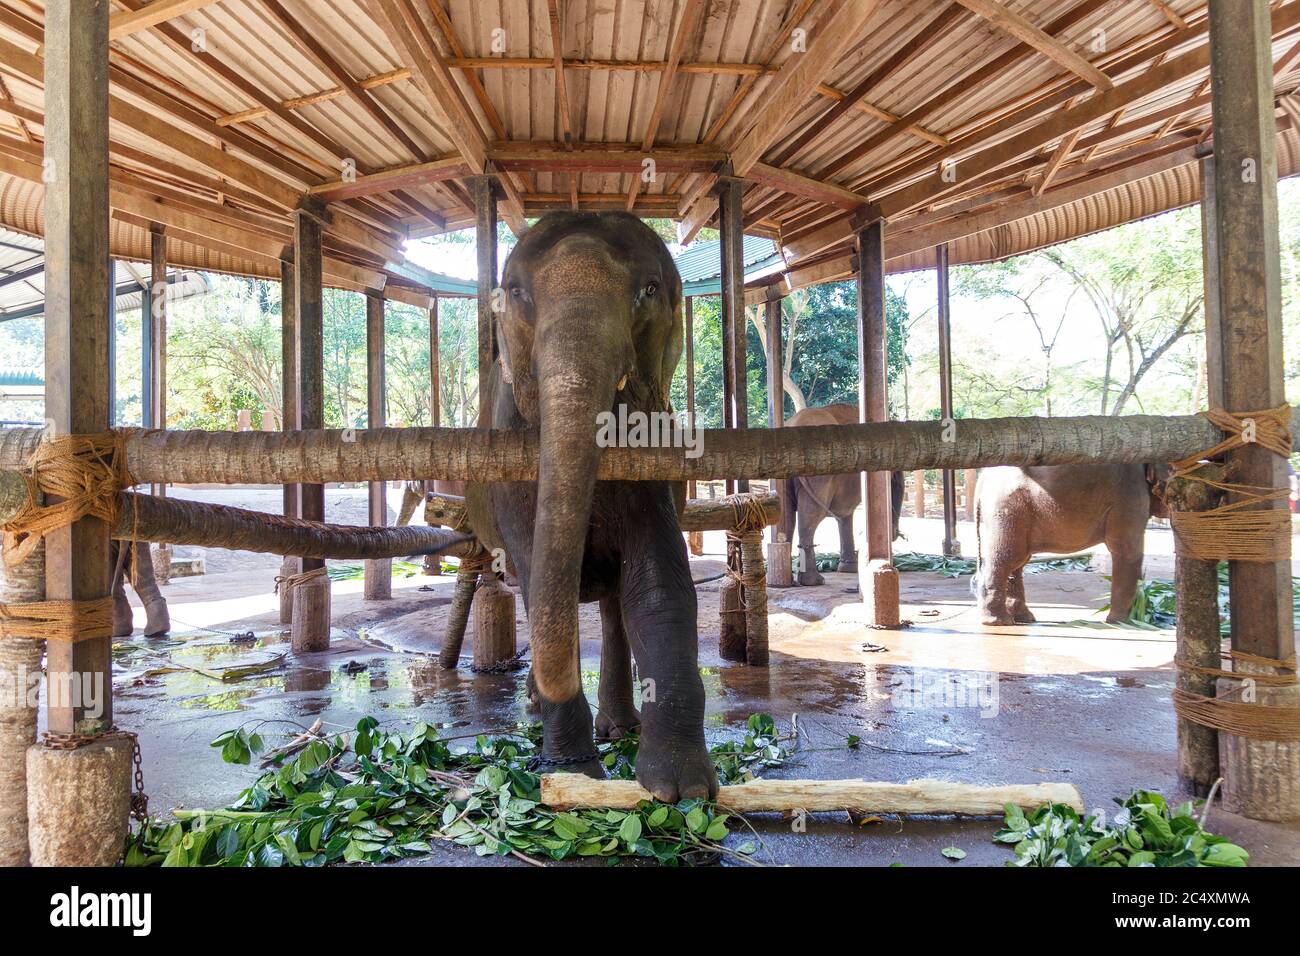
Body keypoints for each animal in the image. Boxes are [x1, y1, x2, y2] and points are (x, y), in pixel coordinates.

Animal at [462, 213, 717, 806]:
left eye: (649, 290)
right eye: (516, 293)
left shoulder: (654, 452)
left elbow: (656, 585)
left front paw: (680, 789)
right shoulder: (512, 456)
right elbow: (538, 583)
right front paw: (576, 773)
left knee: (612, 606)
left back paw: (618, 727)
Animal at [769, 403, 904, 587]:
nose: (895, 534)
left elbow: (844, 514)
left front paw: (848, 568)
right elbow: (844, 511)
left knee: (787, 515)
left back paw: (789, 581)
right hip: (819, 473)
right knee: (811, 515)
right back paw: (814, 581)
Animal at [972, 463, 1175, 629]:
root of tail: (982, 479)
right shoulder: (1130, 495)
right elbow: (1127, 551)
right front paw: (1125, 622)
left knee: (1017, 562)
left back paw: (1023, 618)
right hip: (1008, 510)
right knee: (1006, 559)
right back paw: (998, 622)